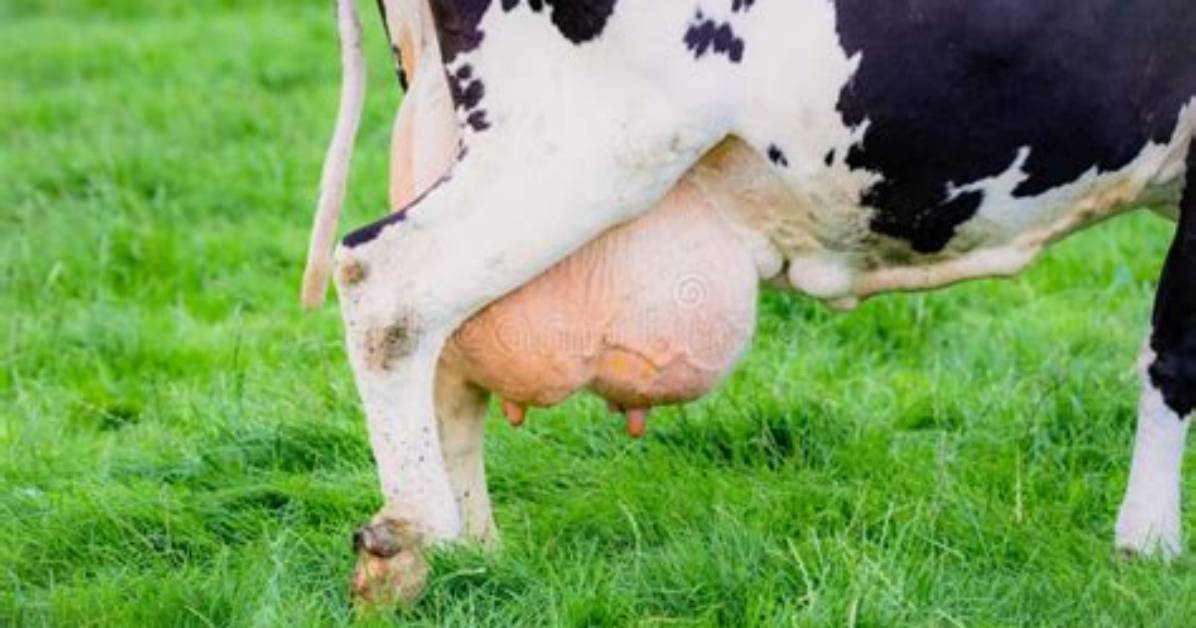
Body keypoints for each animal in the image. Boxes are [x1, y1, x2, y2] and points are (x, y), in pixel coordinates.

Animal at [301, 0, 1196, 604]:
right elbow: (1175, 355)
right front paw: (1149, 546)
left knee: (450, 349)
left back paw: (477, 552)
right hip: (585, 144)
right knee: (389, 286)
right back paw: (414, 541)